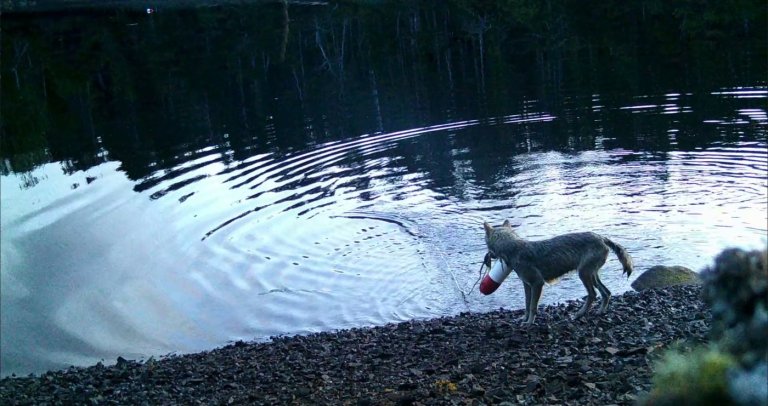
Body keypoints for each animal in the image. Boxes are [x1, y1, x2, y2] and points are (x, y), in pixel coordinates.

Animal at [484, 220, 634, 325]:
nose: (487, 257)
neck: (514, 249)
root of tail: (602, 237)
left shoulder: (537, 284)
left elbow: (532, 306)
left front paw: (529, 323)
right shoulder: (527, 285)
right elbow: (526, 304)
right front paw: (523, 319)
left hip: (583, 274)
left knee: (593, 294)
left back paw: (579, 314)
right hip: (592, 275)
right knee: (606, 293)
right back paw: (600, 312)